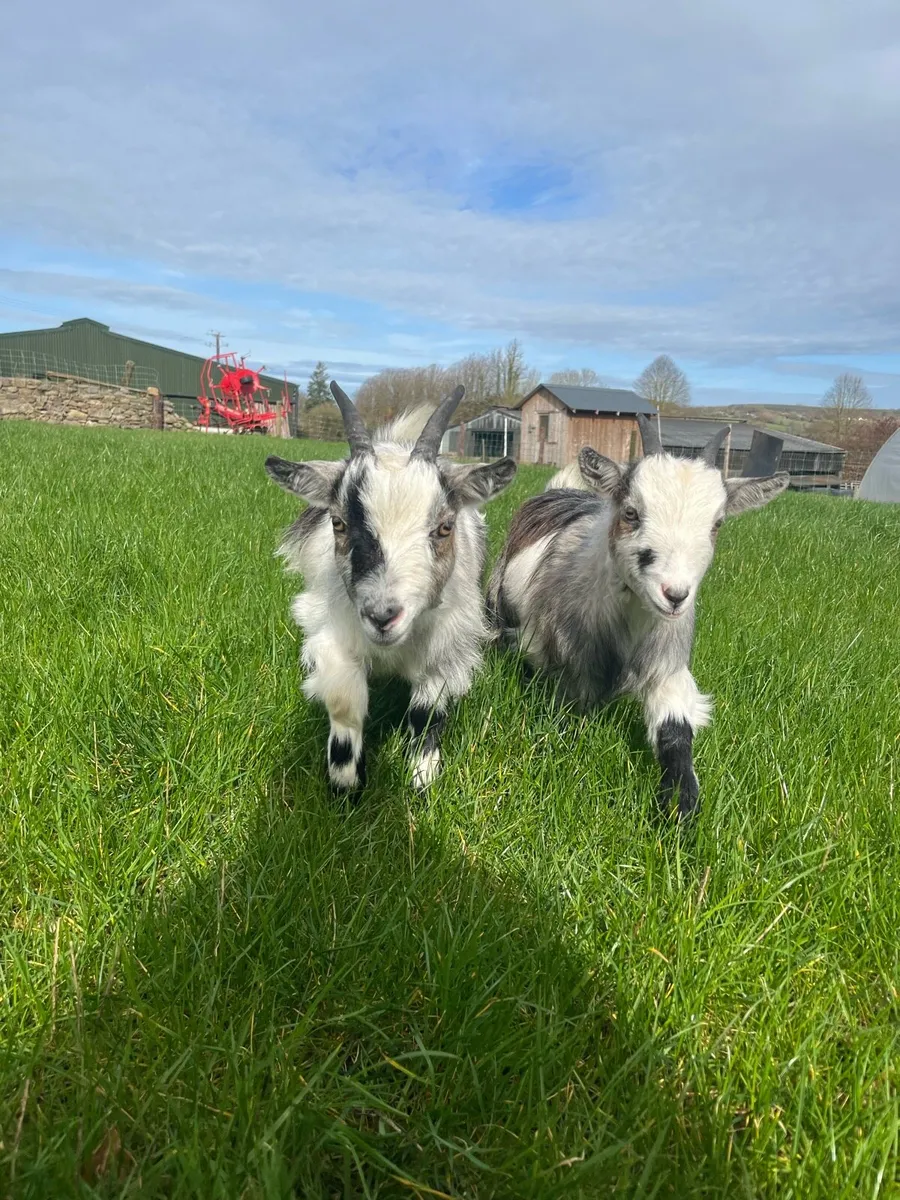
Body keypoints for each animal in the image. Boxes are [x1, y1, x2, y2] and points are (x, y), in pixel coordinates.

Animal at [266, 382, 516, 793]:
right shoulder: (333, 633)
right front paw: (345, 781)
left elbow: (426, 711)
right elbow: (344, 700)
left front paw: (423, 774)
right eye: (338, 523)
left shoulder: (450, 648)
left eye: (445, 527)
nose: (383, 616)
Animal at [487, 416, 789, 818]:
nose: (674, 595)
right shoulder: (568, 667)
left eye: (717, 524)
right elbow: (568, 720)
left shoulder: (669, 668)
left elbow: (676, 730)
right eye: (631, 513)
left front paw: (679, 804)